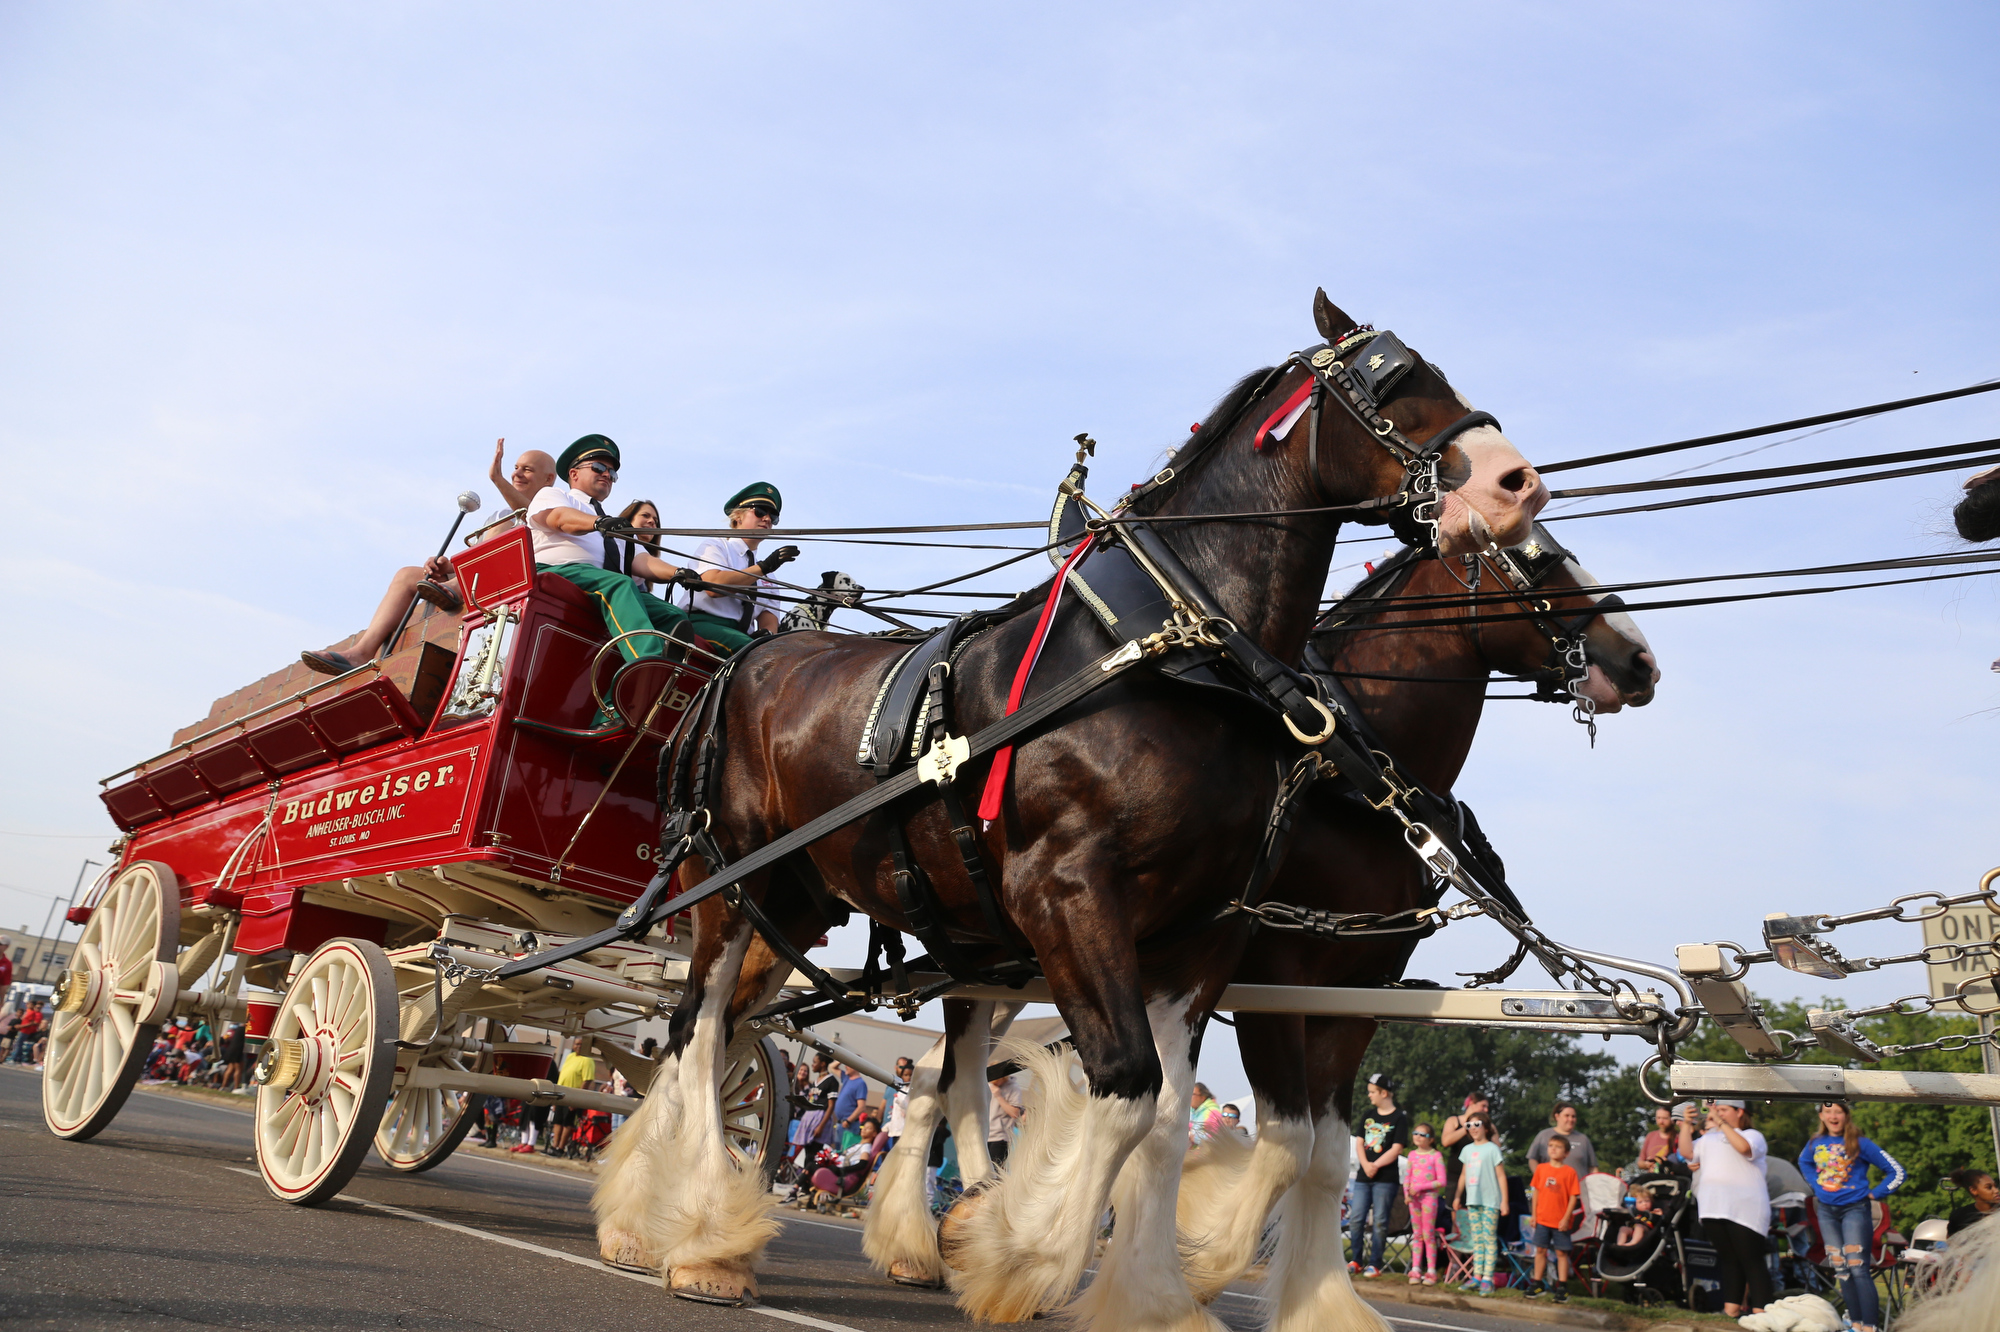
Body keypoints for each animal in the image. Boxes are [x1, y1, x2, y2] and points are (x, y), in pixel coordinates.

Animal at [584, 288, 1536, 1320]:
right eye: (1392, 382)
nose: (1518, 485)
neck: (1170, 655)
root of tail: (745, 658)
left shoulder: (1201, 933)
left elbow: (1165, 1113)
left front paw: (1140, 1293)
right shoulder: (1068, 892)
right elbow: (1124, 1088)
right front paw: (1014, 1249)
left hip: (800, 900)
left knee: (724, 1037)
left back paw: (659, 1220)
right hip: (727, 883)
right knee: (699, 1037)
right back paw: (700, 1237)